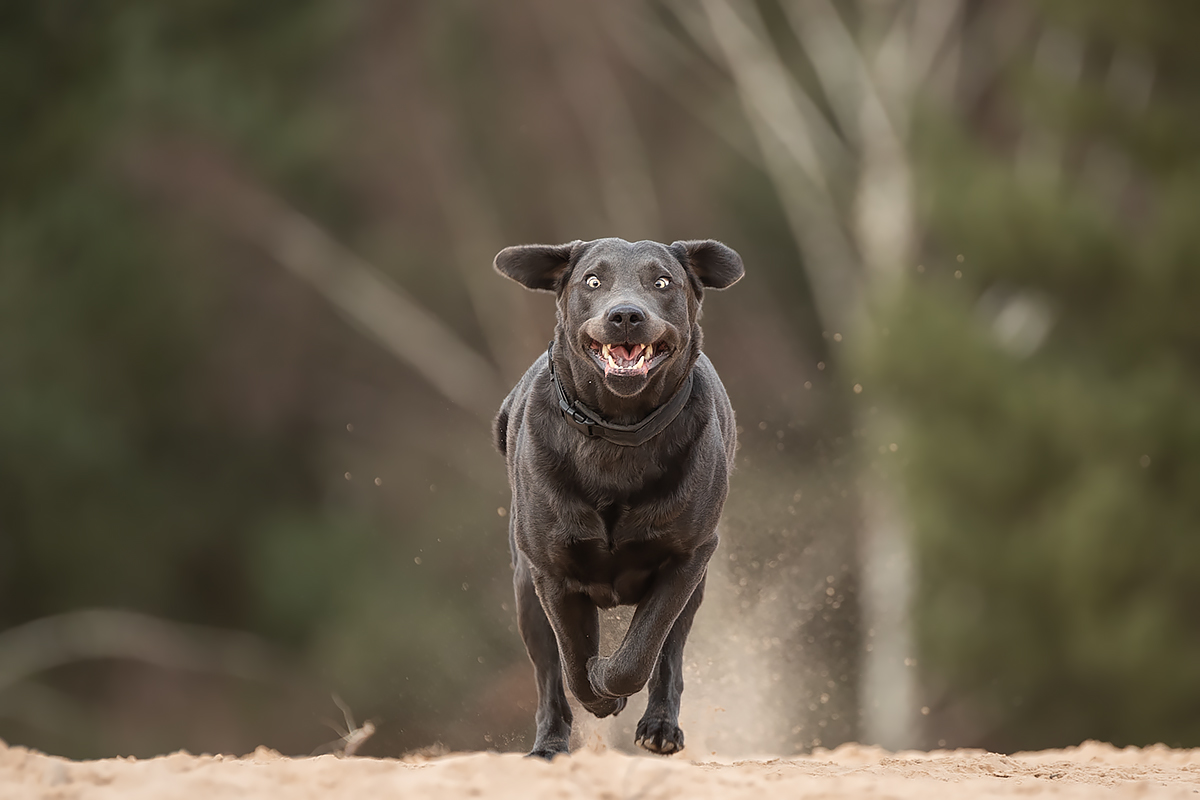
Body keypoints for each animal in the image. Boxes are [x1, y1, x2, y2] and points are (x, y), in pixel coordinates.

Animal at [494, 236, 739, 758]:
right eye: (593, 280)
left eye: (662, 282)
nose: (625, 314)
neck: (618, 436)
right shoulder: (550, 570)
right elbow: (572, 658)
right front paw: (598, 693)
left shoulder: (688, 557)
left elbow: (640, 651)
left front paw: (610, 681)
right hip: (525, 589)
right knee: (549, 675)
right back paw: (549, 744)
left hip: (695, 588)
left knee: (668, 656)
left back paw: (660, 727)